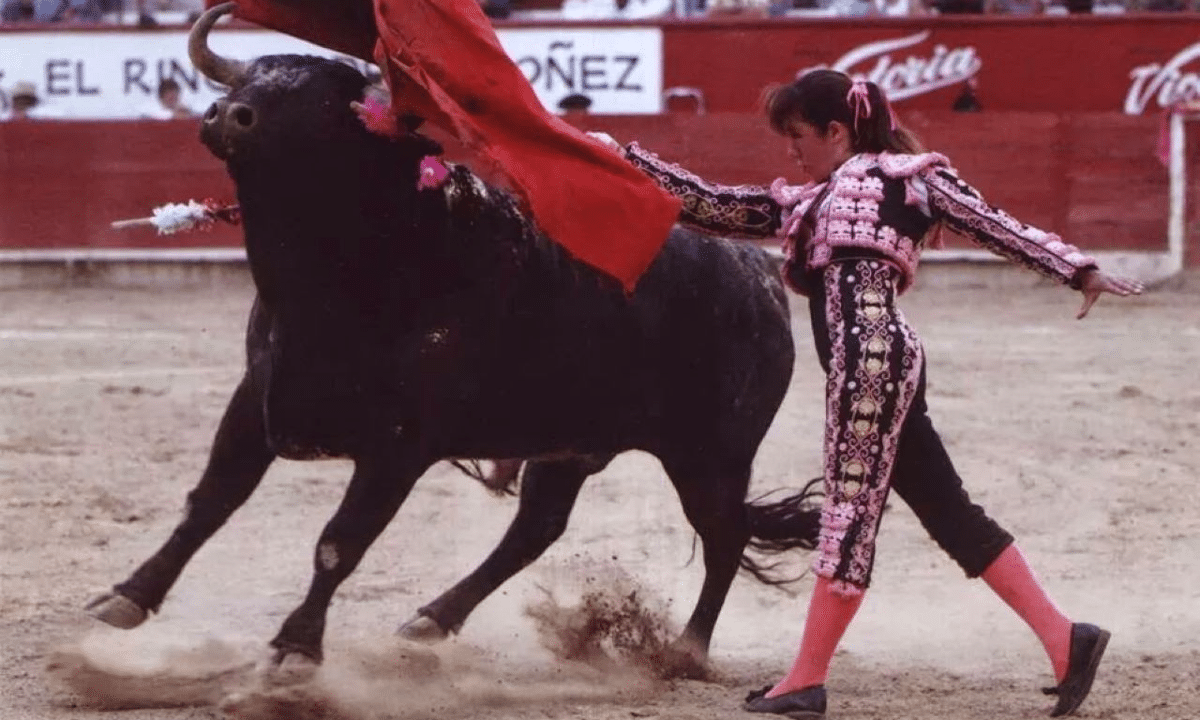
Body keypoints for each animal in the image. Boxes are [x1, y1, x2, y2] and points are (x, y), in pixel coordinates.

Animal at [82, 5, 816, 676]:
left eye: (319, 102)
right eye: (255, 76)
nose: (224, 115)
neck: (329, 283)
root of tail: (760, 278)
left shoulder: (401, 445)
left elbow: (339, 542)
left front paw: (296, 648)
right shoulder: (255, 399)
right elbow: (209, 502)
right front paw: (126, 597)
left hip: (711, 455)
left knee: (723, 537)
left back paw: (687, 651)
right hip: (572, 444)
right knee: (537, 529)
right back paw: (433, 619)